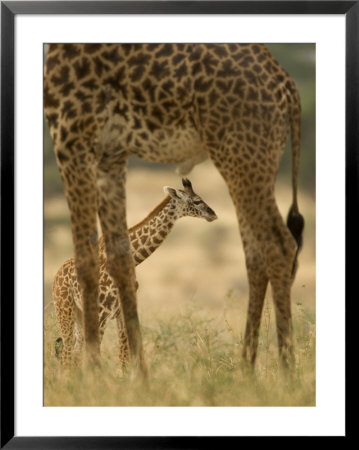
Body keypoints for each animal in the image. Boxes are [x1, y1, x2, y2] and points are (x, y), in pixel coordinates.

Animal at [53, 178, 217, 368]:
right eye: (197, 201)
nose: (213, 214)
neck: (133, 260)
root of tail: (56, 276)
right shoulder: (101, 313)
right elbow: (96, 355)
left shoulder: (124, 312)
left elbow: (124, 357)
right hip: (65, 309)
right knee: (67, 352)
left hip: (79, 314)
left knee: (74, 352)